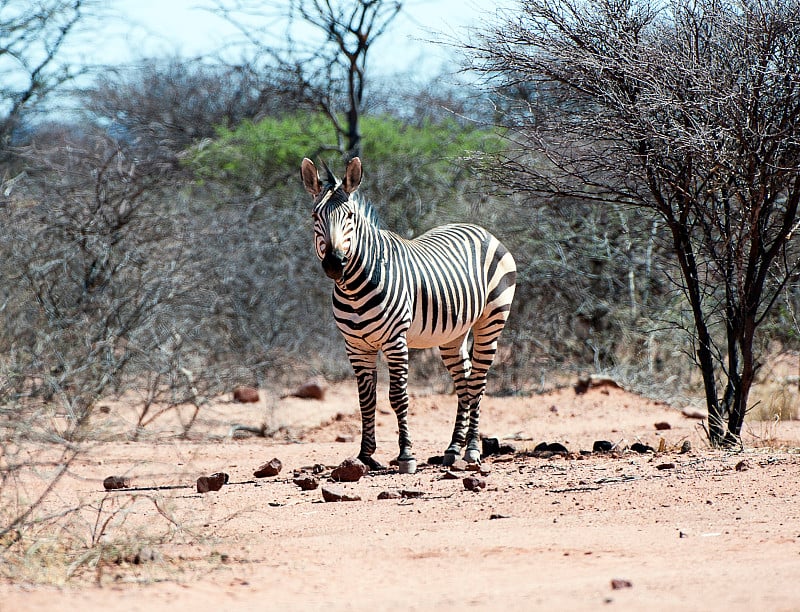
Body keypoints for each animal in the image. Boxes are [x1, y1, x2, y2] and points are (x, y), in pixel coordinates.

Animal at [302, 158, 520, 474]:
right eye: (315, 216)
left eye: (350, 216)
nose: (334, 263)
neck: (353, 287)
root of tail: (479, 229)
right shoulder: (356, 346)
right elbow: (365, 400)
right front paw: (365, 456)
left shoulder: (395, 341)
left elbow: (397, 397)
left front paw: (406, 456)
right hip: (453, 334)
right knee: (464, 381)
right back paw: (453, 449)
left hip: (491, 321)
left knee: (478, 381)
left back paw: (472, 450)